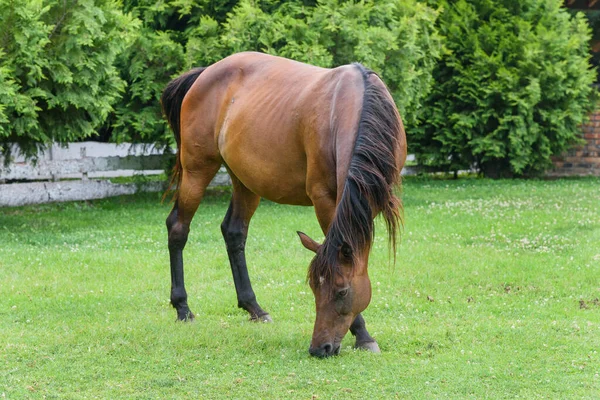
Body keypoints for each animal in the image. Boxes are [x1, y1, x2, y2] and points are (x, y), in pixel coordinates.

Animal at [163, 52, 408, 356]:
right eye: (314, 287)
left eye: (341, 291)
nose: (319, 348)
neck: (355, 105)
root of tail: (205, 73)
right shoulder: (324, 199)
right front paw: (363, 334)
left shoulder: (371, 201)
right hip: (197, 171)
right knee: (178, 228)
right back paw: (183, 308)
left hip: (245, 182)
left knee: (233, 232)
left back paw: (254, 308)